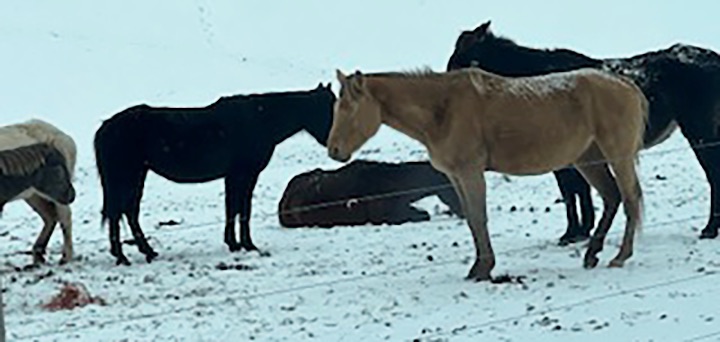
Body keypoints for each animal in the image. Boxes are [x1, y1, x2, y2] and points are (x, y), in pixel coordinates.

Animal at [0, 118, 77, 264]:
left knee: (65, 217)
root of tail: (67, 138)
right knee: (50, 217)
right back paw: (38, 253)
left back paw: (66, 256)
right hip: (34, 194)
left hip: (57, 193)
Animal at [95, 82, 338, 264]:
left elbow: (235, 208)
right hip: (126, 177)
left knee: (129, 212)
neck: (259, 120)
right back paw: (123, 257)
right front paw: (245, 244)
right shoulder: (243, 175)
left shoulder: (237, 176)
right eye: (328, 107)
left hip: (136, 175)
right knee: (120, 213)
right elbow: (240, 209)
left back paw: (146, 251)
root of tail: (106, 127)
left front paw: (236, 243)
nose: (332, 145)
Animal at [330, 67, 648, 280]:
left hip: (617, 156)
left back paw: (620, 256)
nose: (334, 151)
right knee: (612, 197)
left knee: (629, 198)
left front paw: (483, 268)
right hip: (588, 160)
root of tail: (627, 85)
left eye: (349, 108)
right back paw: (592, 254)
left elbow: (479, 218)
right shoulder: (457, 177)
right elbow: (472, 220)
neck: (442, 110)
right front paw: (477, 267)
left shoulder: (471, 172)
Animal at [448, 20, 720, 243]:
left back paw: (709, 228)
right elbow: (577, 191)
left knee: (713, 174)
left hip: (700, 131)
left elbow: (573, 190)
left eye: (459, 60)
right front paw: (581, 229)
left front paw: (574, 232)